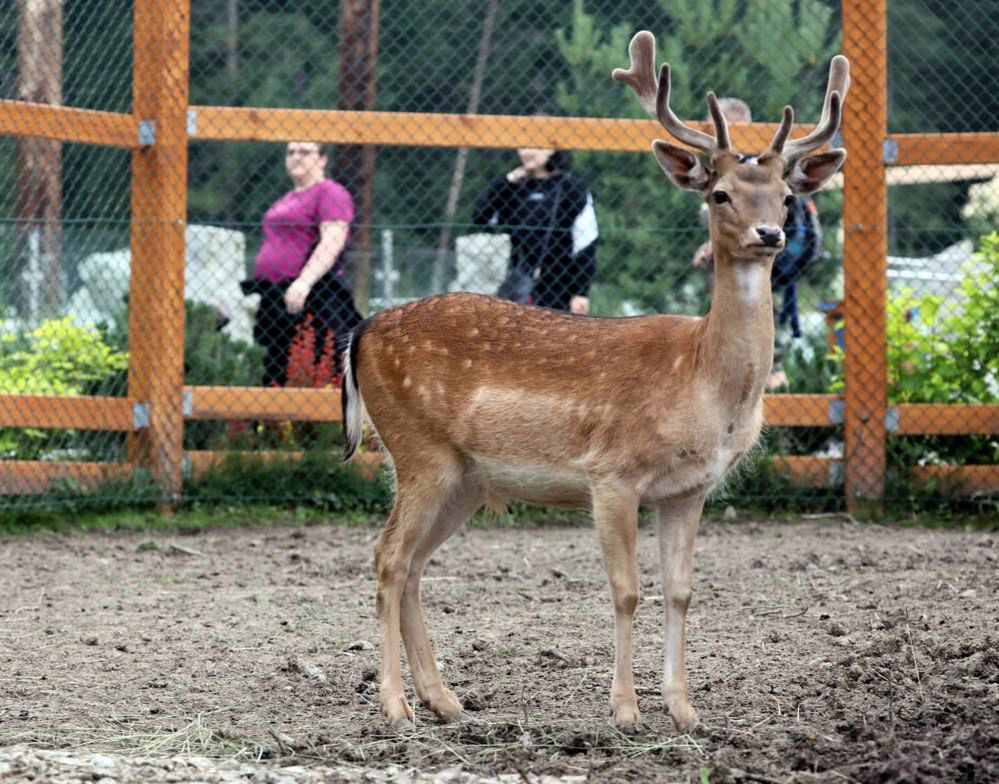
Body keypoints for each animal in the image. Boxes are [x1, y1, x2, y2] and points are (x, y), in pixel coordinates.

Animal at [344, 29, 852, 728]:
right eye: (719, 192)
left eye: (785, 193)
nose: (770, 232)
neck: (702, 383)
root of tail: (361, 332)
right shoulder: (611, 473)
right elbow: (626, 589)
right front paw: (625, 710)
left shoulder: (689, 489)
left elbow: (681, 591)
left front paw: (685, 710)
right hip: (418, 449)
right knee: (389, 556)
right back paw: (396, 706)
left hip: (466, 477)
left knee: (416, 562)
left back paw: (444, 700)